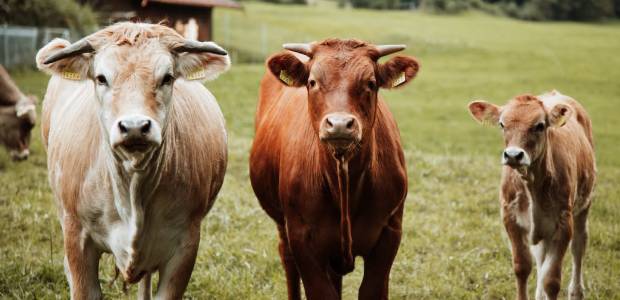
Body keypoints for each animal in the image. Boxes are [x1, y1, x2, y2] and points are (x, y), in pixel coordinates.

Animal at [249, 38, 418, 298]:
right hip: (282, 225)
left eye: (371, 83)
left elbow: (372, 289)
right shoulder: (301, 237)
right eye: (312, 82)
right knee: (286, 258)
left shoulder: (390, 231)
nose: (339, 124)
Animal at [470, 91, 596, 300]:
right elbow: (523, 267)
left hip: (584, 205)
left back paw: (576, 291)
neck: (532, 186)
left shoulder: (564, 223)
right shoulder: (511, 219)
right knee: (540, 256)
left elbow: (551, 280)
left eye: (539, 125)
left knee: (579, 245)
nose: (513, 155)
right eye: (502, 124)